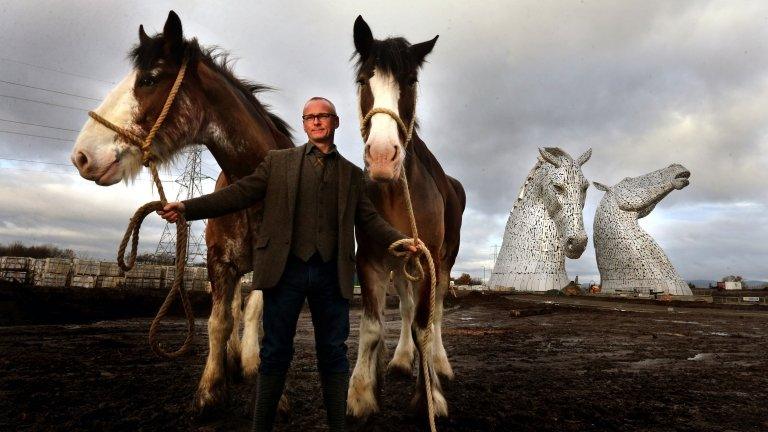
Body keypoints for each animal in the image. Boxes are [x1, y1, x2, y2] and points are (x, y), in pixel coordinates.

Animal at [70, 11, 294, 416]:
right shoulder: (219, 263)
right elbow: (219, 322)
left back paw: (248, 362)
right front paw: (210, 392)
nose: (82, 156)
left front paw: (274, 390)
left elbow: (264, 320)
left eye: (149, 79)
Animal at [350, 16, 468, 418]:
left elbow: (425, 326)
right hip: (401, 263)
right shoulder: (370, 259)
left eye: (411, 81)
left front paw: (429, 396)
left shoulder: (428, 260)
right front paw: (361, 392)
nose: (382, 156)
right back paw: (403, 359)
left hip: (443, 263)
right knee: (405, 308)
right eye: (363, 80)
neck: (394, 192)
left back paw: (440, 363)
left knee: (434, 313)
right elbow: (373, 326)